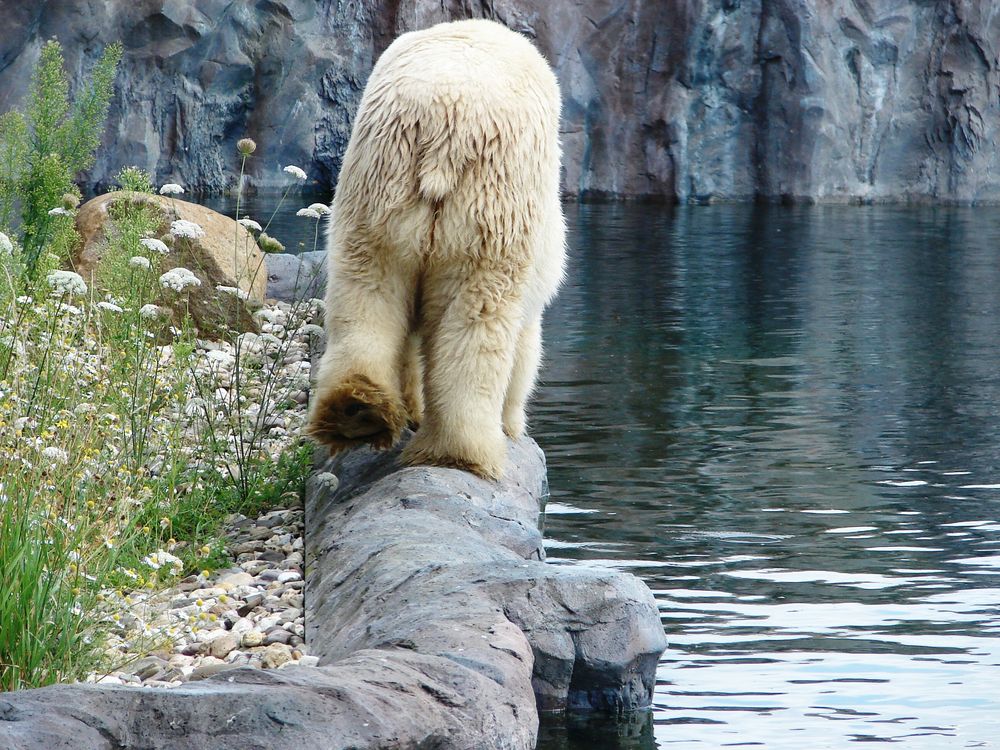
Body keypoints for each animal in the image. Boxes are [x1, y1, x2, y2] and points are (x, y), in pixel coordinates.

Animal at [306, 19, 564, 482]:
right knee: (480, 312)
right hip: (489, 203)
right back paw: (461, 452)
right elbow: (525, 346)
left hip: (377, 186)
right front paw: (513, 424)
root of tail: (445, 123)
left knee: (368, 288)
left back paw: (356, 410)